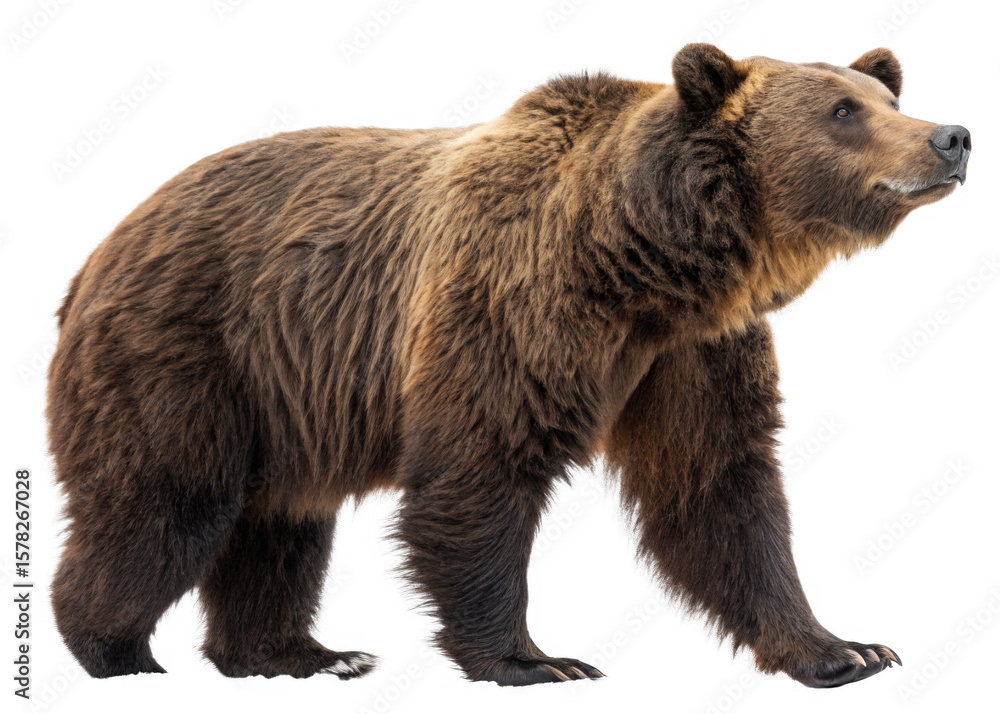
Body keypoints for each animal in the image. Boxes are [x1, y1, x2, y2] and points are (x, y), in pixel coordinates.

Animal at [47, 44, 970, 687]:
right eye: (842, 110)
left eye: (889, 96)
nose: (951, 136)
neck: (647, 263)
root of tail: (98, 249)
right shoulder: (514, 305)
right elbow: (481, 469)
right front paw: (537, 659)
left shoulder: (692, 352)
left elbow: (718, 489)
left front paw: (846, 648)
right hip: (190, 348)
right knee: (168, 501)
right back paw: (117, 651)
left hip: (286, 394)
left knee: (281, 523)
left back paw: (304, 654)